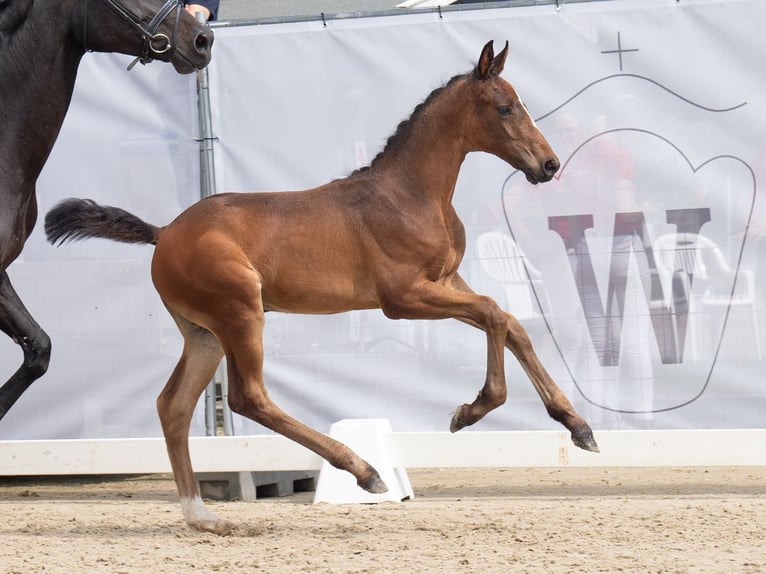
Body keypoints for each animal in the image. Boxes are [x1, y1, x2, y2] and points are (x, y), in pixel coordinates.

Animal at [46, 42, 600, 536]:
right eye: (505, 107)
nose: (549, 165)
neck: (410, 194)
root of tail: (163, 233)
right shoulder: (403, 298)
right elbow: (493, 313)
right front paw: (473, 410)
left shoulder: (444, 281)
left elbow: (508, 323)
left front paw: (577, 426)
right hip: (241, 314)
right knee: (248, 398)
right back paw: (364, 471)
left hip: (203, 334)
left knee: (173, 406)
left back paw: (202, 516)